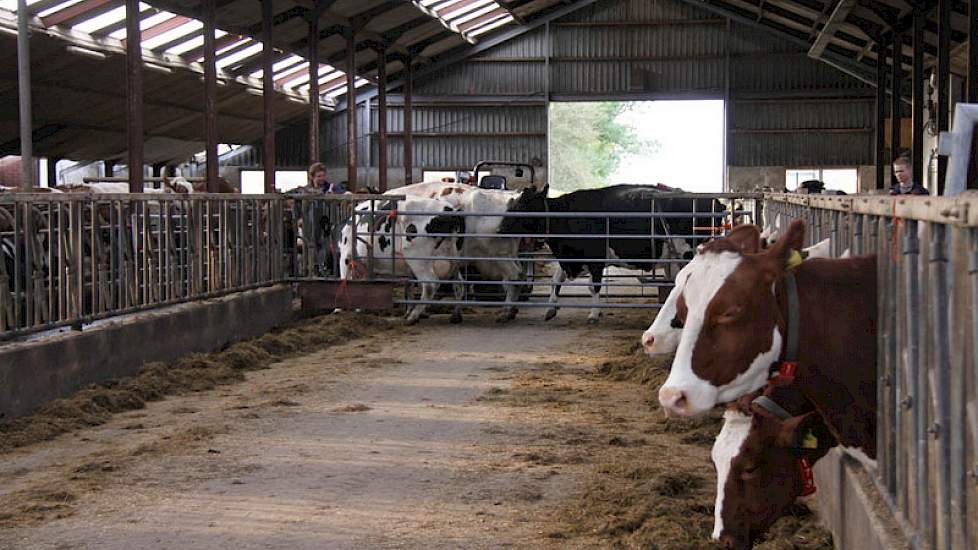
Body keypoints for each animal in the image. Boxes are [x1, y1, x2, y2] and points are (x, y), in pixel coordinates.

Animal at [504, 185, 724, 324]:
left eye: (524, 206)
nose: (502, 226)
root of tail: (715, 201)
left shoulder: (595, 259)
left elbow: (593, 287)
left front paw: (594, 314)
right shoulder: (572, 257)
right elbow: (556, 279)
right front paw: (551, 308)